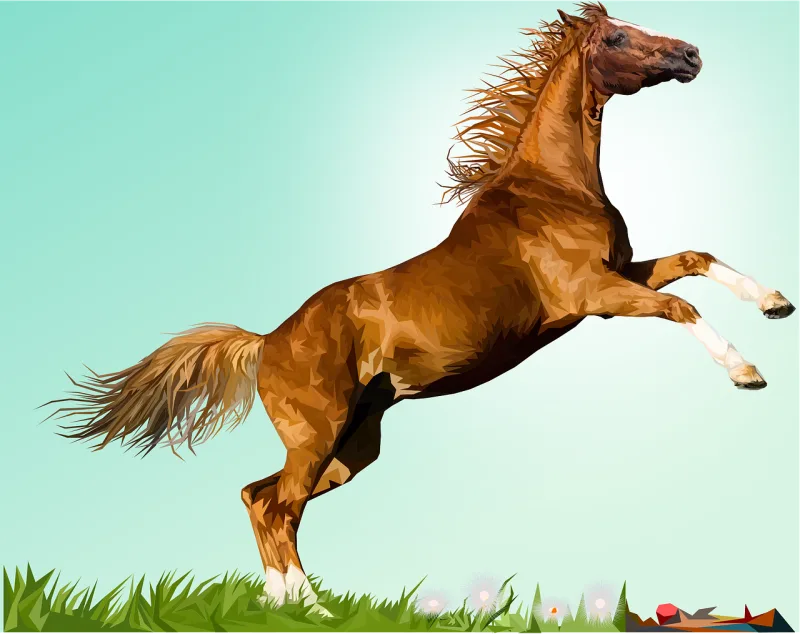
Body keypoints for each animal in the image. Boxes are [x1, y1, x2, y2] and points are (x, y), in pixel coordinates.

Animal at [47, 2, 794, 615]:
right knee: (280, 508)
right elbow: (679, 307)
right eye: (617, 36)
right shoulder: (594, 295)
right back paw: (312, 610)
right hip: (318, 436)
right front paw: (748, 372)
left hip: (352, 445)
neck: (552, 187)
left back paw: (284, 605)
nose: (690, 54)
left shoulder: (619, 275)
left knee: (260, 498)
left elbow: (696, 258)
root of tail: (266, 340)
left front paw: (776, 303)